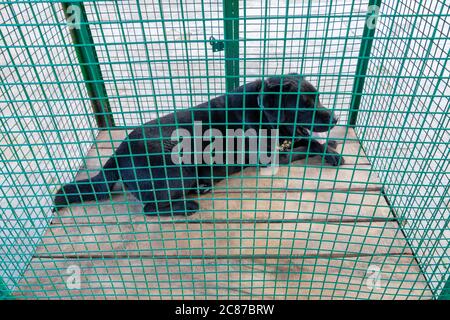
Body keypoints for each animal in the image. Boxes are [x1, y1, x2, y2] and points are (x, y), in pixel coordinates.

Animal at [55, 74, 344, 216]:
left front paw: (330, 147)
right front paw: (328, 149)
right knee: (150, 208)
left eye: (318, 98)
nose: (336, 118)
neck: (261, 110)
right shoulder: (270, 157)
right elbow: (304, 145)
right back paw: (187, 206)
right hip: (177, 168)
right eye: (303, 105)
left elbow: (309, 139)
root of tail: (116, 154)